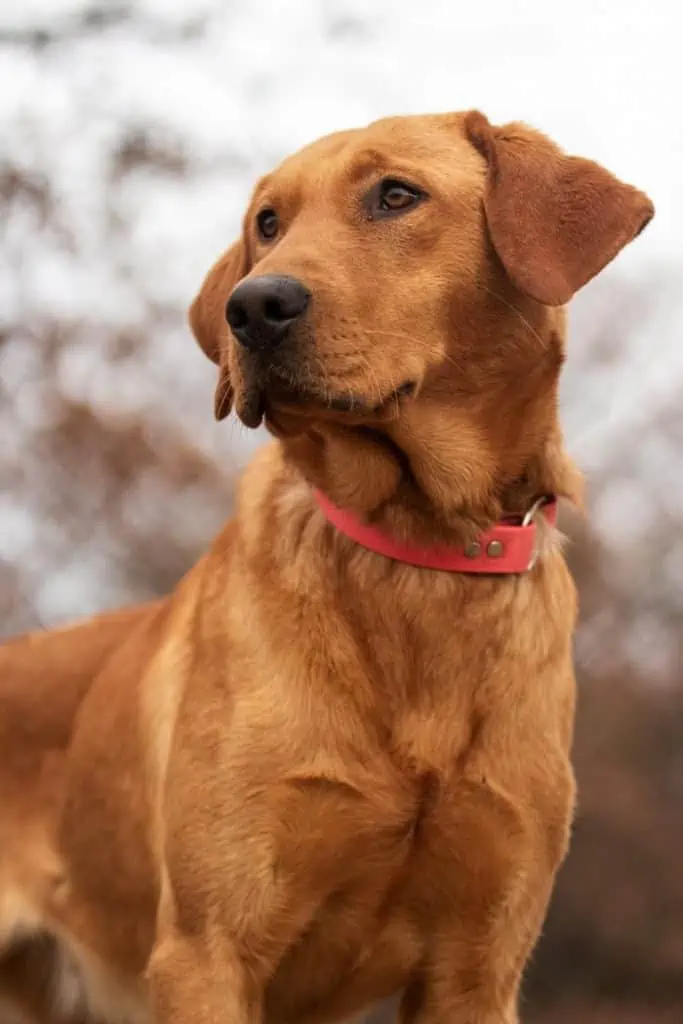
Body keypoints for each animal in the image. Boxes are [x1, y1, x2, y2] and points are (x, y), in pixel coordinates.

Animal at [0, 112, 651, 1024]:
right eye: (268, 223)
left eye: (395, 195)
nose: (250, 305)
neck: (417, 545)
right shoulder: (209, 951)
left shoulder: (478, 966)